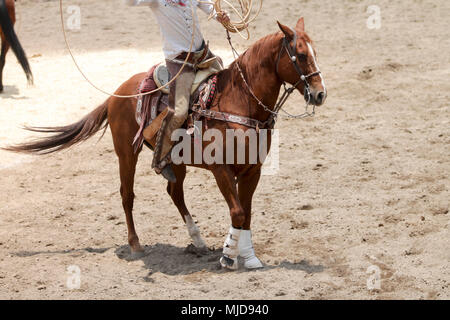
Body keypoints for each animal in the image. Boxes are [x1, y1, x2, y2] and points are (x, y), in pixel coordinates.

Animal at [3, 18, 326, 270]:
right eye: (299, 55)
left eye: (314, 51)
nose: (320, 94)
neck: (238, 101)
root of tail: (115, 94)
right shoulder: (221, 169)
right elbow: (237, 211)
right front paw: (227, 257)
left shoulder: (252, 170)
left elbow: (246, 213)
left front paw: (248, 257)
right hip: (126, 154)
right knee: (127, 195)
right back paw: (136, 245)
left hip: (175, 160)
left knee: (174, 192)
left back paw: (197, 240)